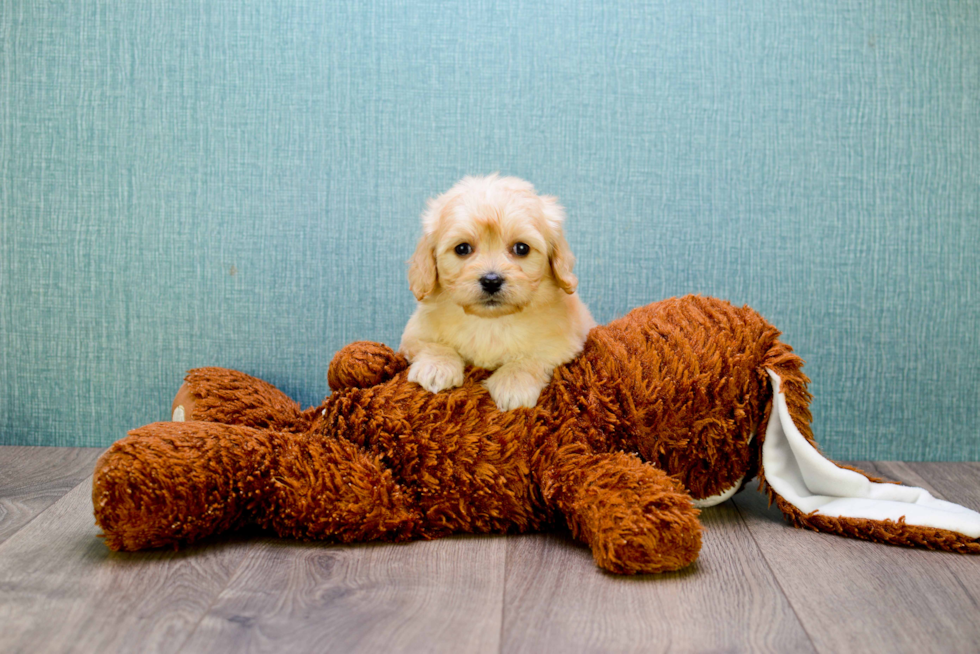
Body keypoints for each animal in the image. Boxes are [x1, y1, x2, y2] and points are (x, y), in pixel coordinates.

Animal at [400, 174, 596, 410]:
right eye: (462, 248)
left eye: (522, 248)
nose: (491, 281)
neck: (490, 322)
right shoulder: (413, 335)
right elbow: (433, 345)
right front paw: (437, 367)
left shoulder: (563, 345)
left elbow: (531, 358)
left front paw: (513, 383)